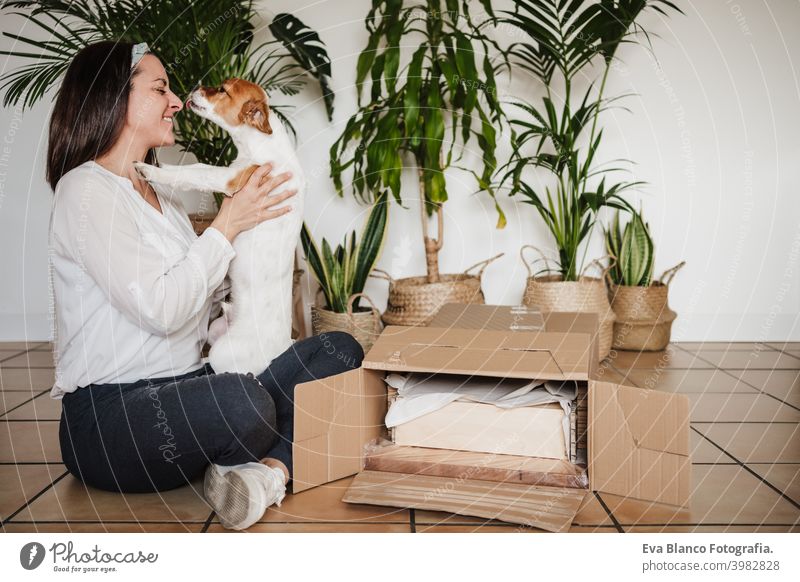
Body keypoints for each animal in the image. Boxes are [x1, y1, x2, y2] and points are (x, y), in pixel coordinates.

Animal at [134, 77, 304, 376]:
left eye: (223, 90)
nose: (195, 86)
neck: (260, 143)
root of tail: (280, 350)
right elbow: (191, 169)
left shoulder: (228, 178)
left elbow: (194, 172)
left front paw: (151, 170)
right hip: (215, 329)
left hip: (224, 352)